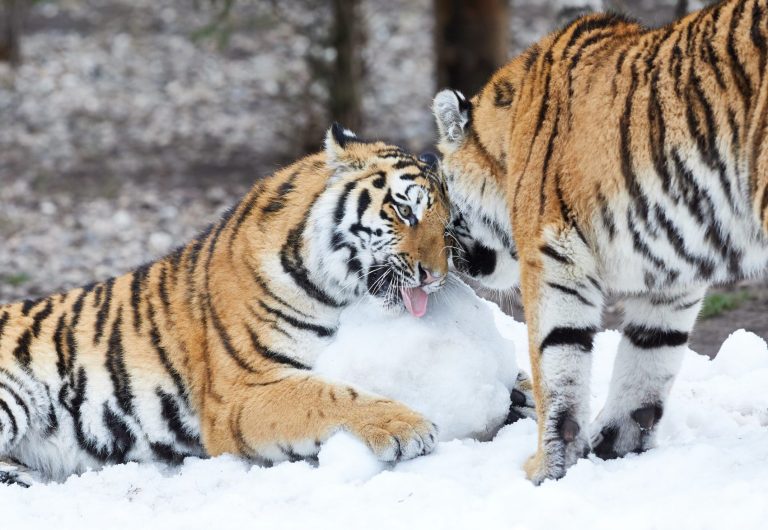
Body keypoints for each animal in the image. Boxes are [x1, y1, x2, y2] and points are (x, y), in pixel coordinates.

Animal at [0, 124, 453, 486]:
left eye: (447, 224)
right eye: (404, 210)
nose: (435, 276)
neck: (331, 289)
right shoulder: (240, 393)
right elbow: (328, 395)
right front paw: (408, 427)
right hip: (13, 393)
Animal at [432, 0, 768, 484]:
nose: (451, 258)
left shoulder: (553, 253)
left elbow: (556, 361)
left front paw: (545, 468)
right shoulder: (669, 275)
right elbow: (650, 356)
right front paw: (617, 445)